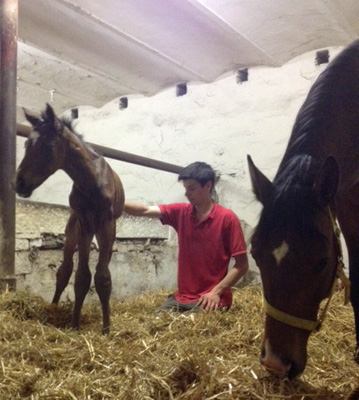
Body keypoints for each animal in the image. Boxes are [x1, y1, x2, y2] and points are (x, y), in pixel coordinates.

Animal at [14, 104, 125, 334]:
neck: (91, 182)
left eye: (48, 146)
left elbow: (103, 276)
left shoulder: (106, 224)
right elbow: (81, 276)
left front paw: (106, 328)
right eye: (27, 143)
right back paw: (54, 308)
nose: (19, 183)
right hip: (72, 229)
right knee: (64, 270)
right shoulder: (83, 223)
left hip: (106, 233)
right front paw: (74, 324)